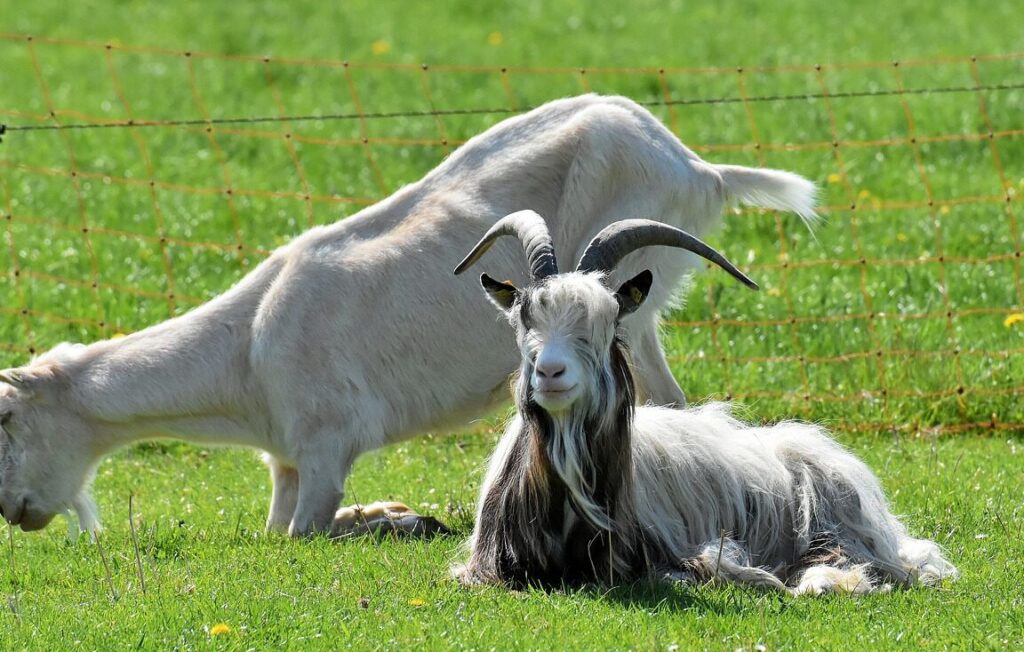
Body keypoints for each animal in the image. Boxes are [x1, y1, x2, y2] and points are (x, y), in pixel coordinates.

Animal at [0, 94, 816, 538]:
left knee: (668, 401)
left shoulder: (327, 449)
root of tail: (700, 169)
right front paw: (400, 513)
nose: (14, 511)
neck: (249, 352)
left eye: (8, 421)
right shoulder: (287, 463)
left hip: (629, 307)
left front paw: (405, 519)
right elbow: (277, 530)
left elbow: (306, 535)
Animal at [453, 211, 958, 594]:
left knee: (858, 561)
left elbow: (692, 570)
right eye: (523, 317)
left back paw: (824, 582)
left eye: (610, 320)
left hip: (831, 514)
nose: (550, 372)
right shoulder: (484, 569)